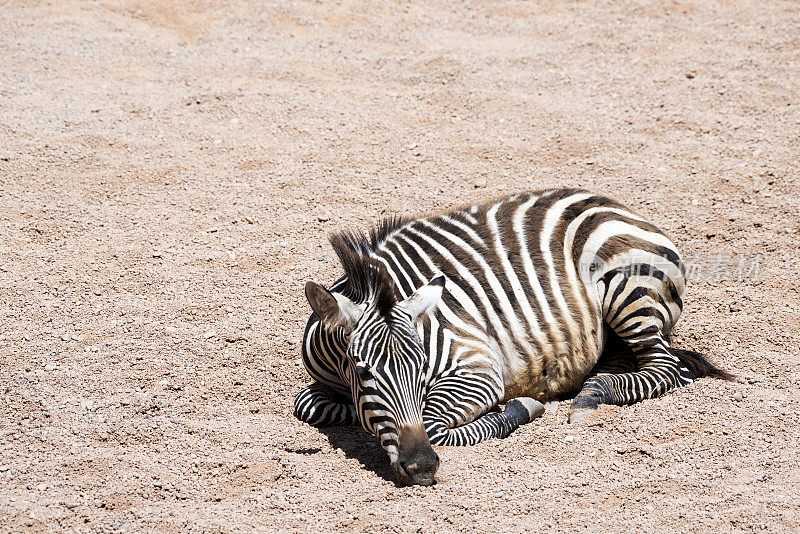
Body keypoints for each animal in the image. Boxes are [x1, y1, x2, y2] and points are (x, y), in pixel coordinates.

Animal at [294, 188, 732, 486]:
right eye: (362, 372)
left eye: (420, 370)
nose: (422, 468)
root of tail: (614, 205)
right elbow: (308, 405)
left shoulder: (479, 370)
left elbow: (435, 425)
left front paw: (517, 407)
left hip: (626, 289)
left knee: (666, 368)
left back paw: (593, 394)